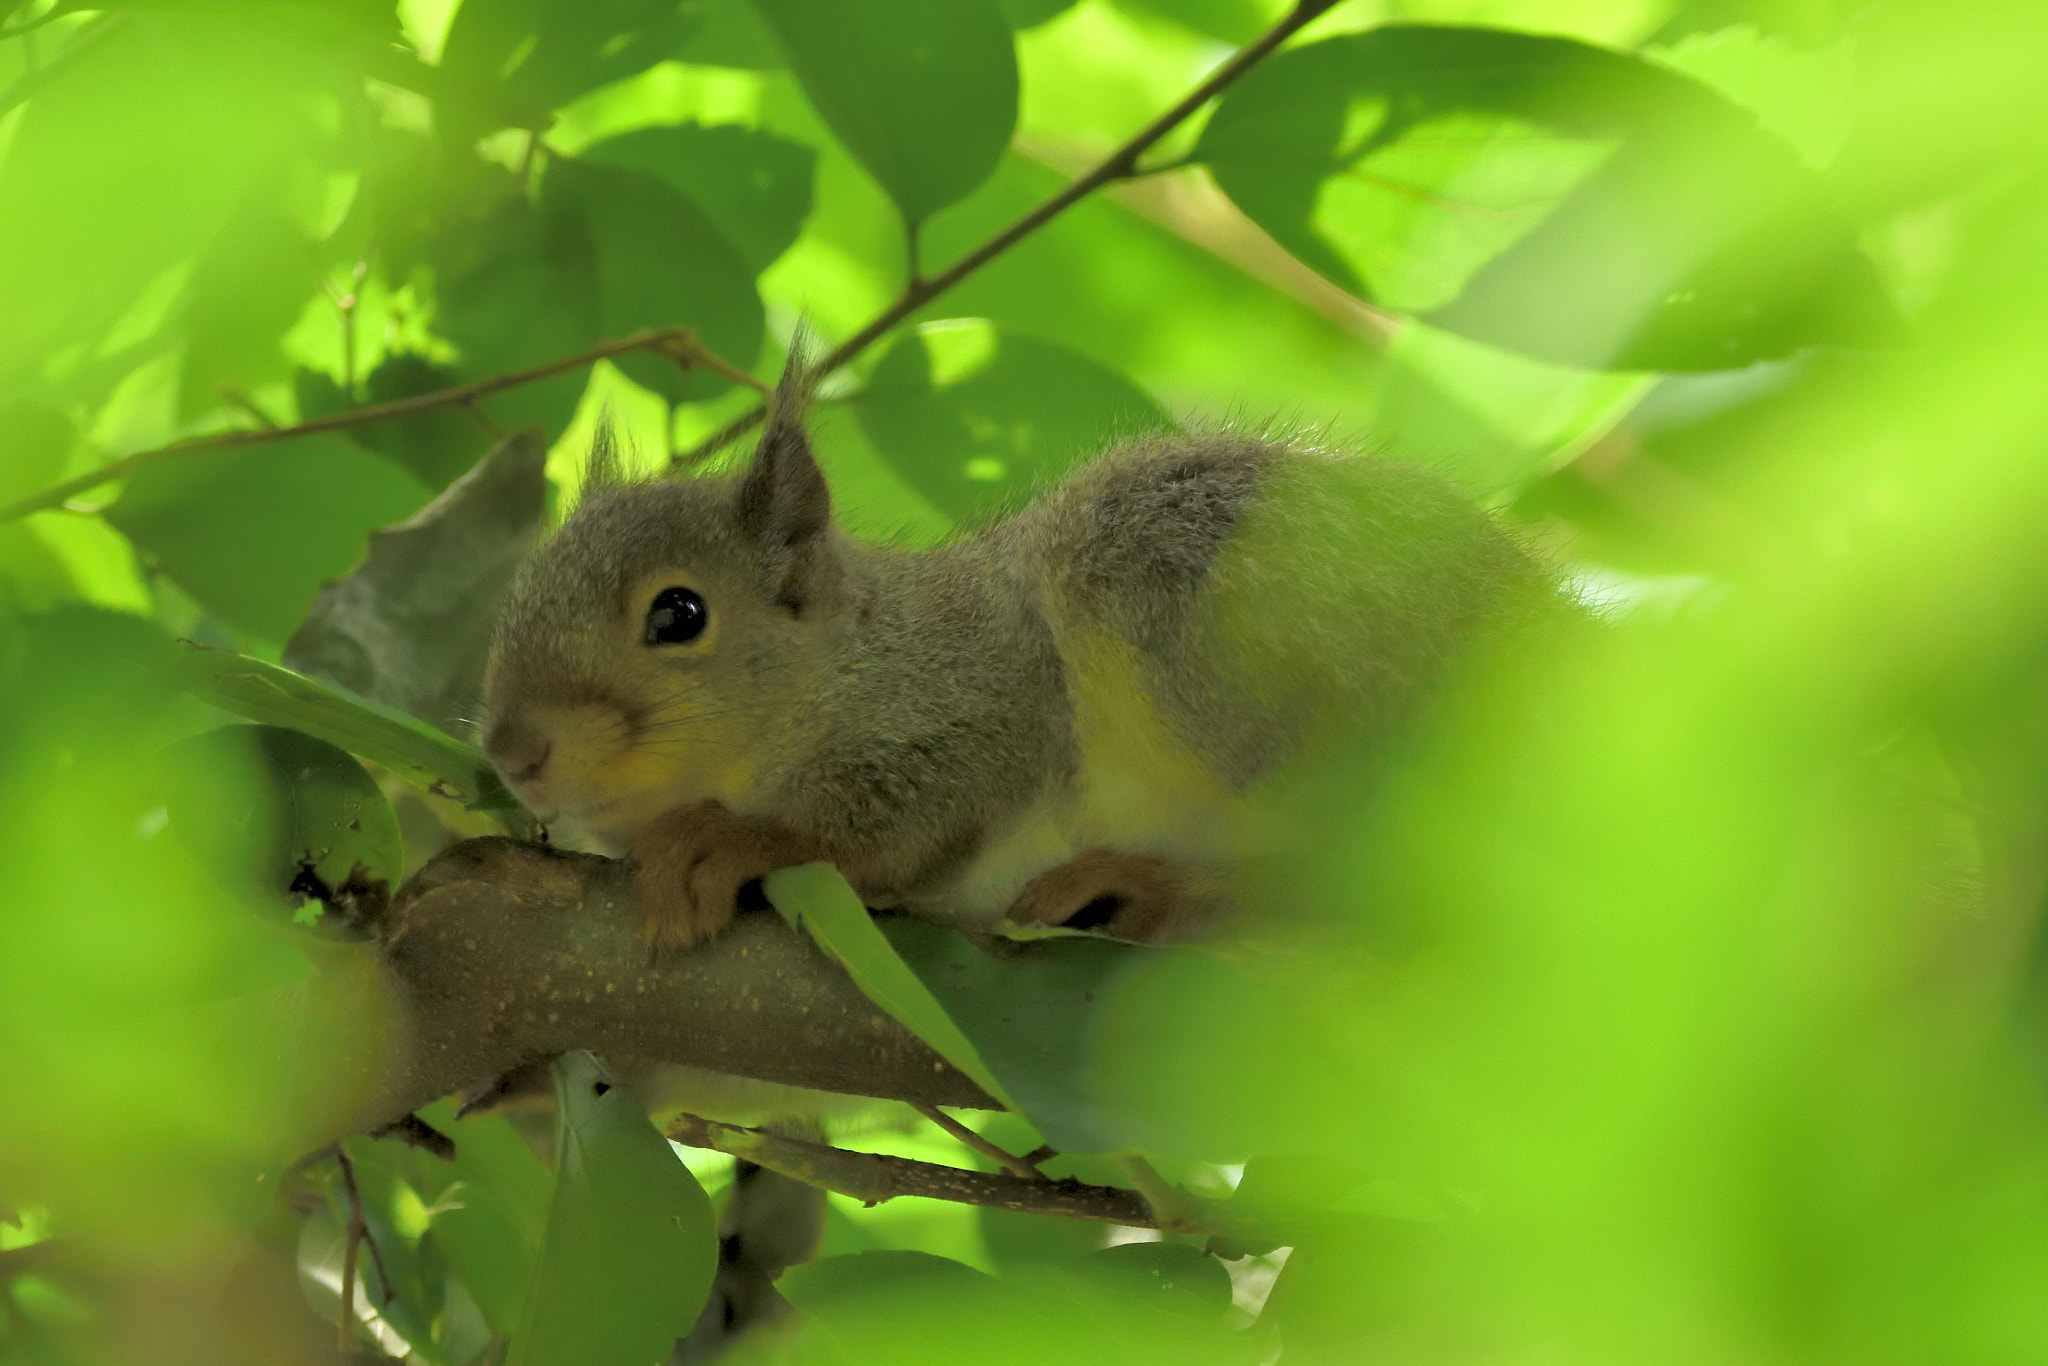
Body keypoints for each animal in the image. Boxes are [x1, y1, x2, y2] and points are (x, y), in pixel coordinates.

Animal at [479, 362, 1540, 962]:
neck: (850, 660)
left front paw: (726, 841)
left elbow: (899, 817)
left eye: (679, 614)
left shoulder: (982, 700)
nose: (511, 753)